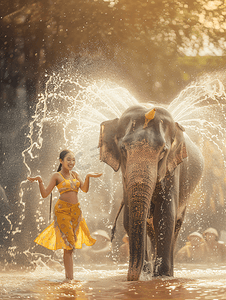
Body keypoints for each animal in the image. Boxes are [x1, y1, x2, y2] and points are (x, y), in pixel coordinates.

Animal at [98, 104, 204, 280]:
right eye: (122, 149)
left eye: (163, 151)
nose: (131, 277)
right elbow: (128, 218)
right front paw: (146, 274)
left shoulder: (172, 168)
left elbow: (166, 216)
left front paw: (161, 276)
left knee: (175, 225)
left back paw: (168, 273)